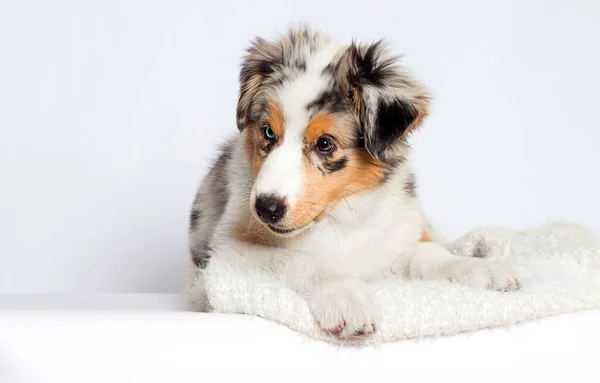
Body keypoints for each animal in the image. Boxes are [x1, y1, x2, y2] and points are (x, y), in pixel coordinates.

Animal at [189, 26, 520, 340]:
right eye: (268, 132)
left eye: (325, 143)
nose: (265, 208)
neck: (339, 217)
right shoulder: (228, 252)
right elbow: (297, 260)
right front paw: (346, 299)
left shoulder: (389, 243)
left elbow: (425, 254)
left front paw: (480, 269)